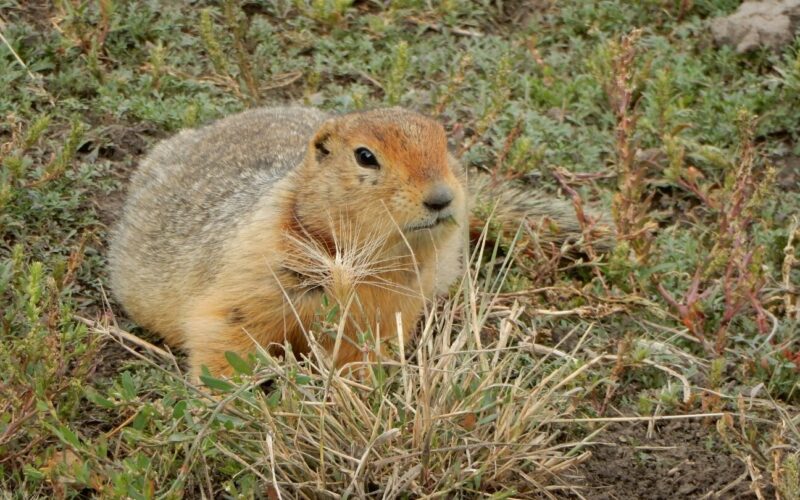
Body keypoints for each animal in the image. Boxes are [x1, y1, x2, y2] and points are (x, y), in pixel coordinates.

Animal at [108, 106, 613, 380]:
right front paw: (230, 397)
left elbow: (364, 350)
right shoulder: (254, 269)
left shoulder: (391, 305)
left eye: (443, 143)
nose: (442, 197)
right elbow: (226, 331)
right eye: (365, 156)